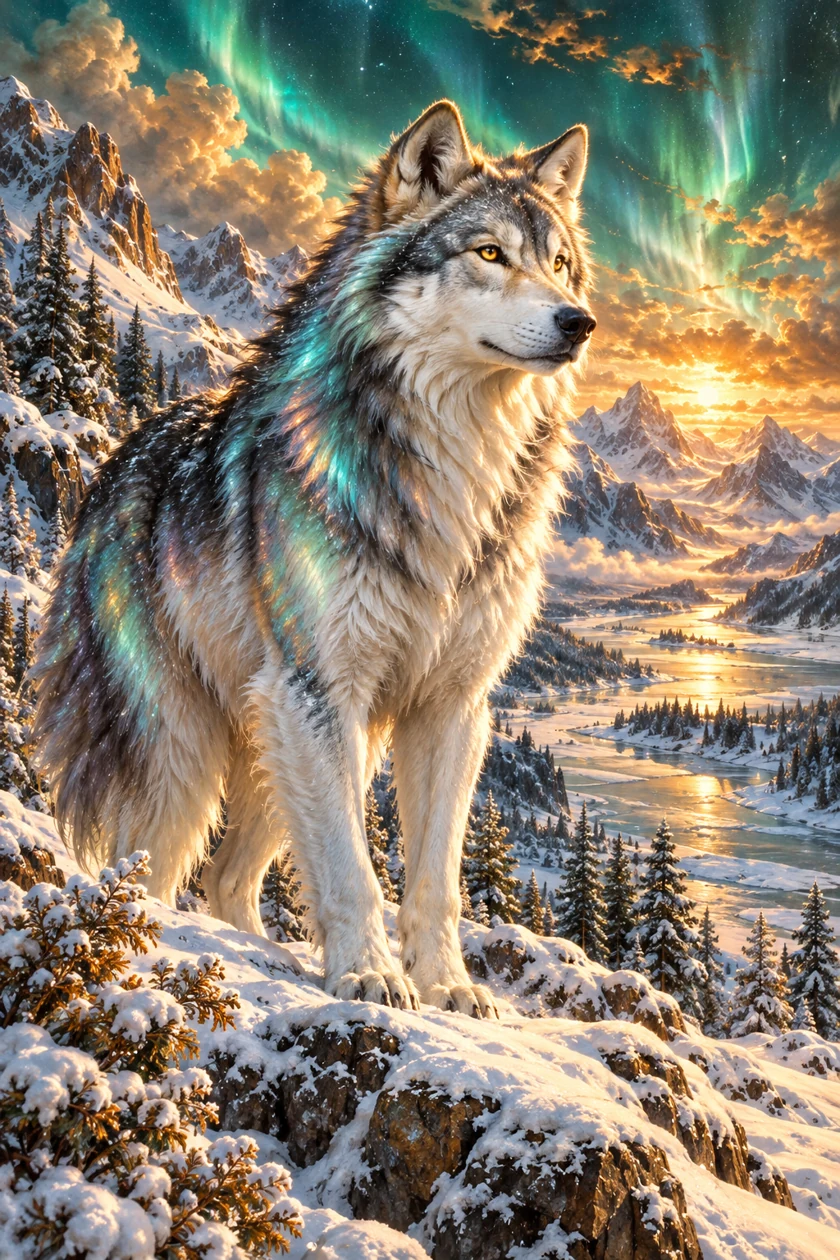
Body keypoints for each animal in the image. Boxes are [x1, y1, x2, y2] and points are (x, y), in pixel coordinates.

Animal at [34, 100, 595, 1017]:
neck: (454, 464)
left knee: (228, 881)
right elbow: (351, 868)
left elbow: (434, 877)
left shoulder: (452, 708)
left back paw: (262, 952)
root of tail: (114, 465)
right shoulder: (319, 688)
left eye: (561, 265)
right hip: (193, 751)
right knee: (148, 867)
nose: (579, 322)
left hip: (286, 744)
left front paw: (448, 986)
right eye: (488, 254)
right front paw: (368, 977)